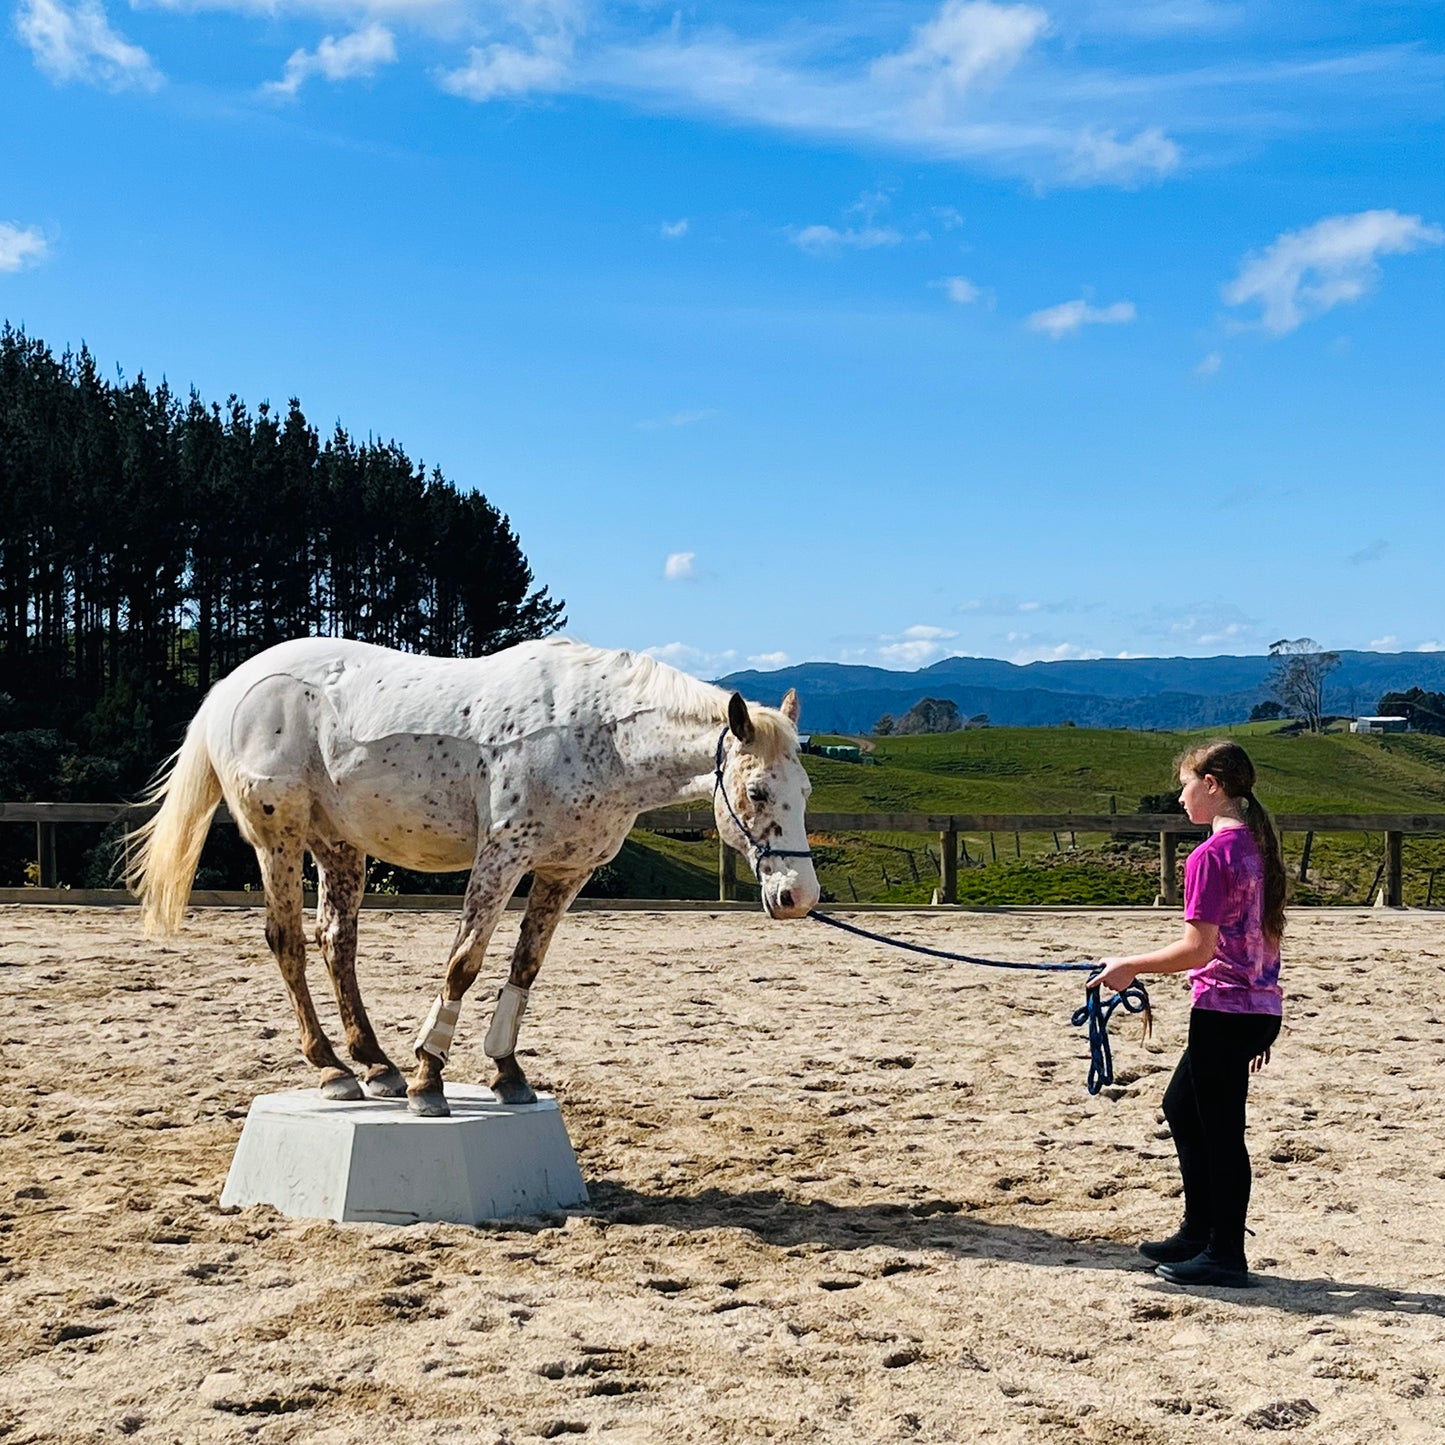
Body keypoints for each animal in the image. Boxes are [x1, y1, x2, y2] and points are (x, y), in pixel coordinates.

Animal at [127, 641, 814, 1115]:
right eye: (757, 791)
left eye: (804, 791)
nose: (798, 897)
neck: (599, 736)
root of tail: (232, 686)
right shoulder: (501, 858)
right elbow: (465, 962)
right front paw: (429, 1076)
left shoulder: (563, 872)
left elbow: (524, 967)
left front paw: (507, 1073)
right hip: (281, 840)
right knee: (287, 943)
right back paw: (331, 1069)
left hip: (339, 847)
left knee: (336, 943)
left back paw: (373, 1065)